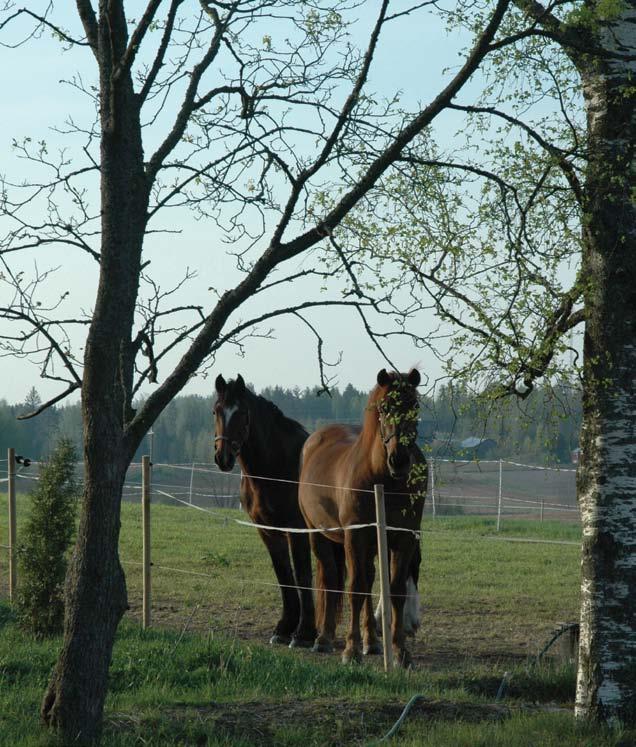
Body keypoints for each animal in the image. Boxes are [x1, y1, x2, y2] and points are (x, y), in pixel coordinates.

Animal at [214, 374, 316, 648]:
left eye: (241, 413)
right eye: (216, 411)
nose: (223, 457)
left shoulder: (297, 530)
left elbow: (302, 574)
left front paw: (303, 634)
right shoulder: (268, 530)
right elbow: (283, 574)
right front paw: (284, 629)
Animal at [298, 368, 428, 668]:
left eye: (414, 406)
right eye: (383, 407)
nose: (399, 460)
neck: (383, 479)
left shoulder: (403, 538)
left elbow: (395, 590)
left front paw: (400, 652)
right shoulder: (355, 536)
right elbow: (355, 589)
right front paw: (351, 650)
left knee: (368, 580)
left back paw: (372, 642)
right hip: (319, 535)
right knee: (331, 579)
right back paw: (324, 638)